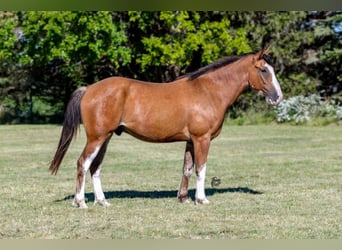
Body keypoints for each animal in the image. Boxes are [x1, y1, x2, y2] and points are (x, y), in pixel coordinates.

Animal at [48, 49, 284, 209]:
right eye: (264, 70)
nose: (278, 97)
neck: (208, 91)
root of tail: (89, 89)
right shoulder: (202, 139)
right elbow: (201, 169)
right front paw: (201, 199)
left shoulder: (190, 141)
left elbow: (187, 168)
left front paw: (183, 198)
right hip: (96, 138)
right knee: (83, 163)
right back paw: (80, 202)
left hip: (105, 138)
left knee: (95, 168)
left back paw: (102, 201)